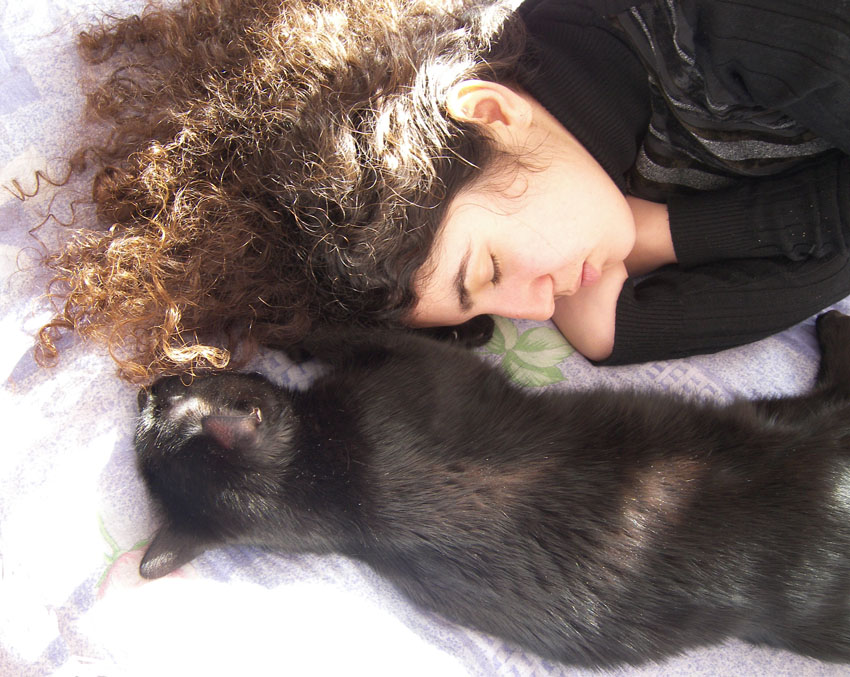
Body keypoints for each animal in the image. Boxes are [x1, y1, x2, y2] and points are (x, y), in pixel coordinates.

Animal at [134, 311, 850, 668]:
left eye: (159, 405)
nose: (147, 389)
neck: (324, 488)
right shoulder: (407, 365)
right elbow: (333, 327)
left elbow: (321, 334)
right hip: (789, 421)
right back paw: (834, 326)